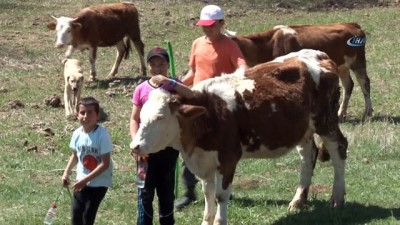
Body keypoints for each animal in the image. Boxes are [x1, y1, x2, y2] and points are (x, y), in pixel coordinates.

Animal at [130, 49, 346, 225]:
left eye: (160, 117)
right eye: (141, 116)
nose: (135, 146)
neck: (210, 114)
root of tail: (320, 55)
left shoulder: (228, 160)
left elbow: (220, 196)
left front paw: (219, 221)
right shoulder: (204, 162)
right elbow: (208, 194)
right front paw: (206, 221)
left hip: (326, 122)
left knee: (339, 149)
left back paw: (337, 198)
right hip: (303, 129)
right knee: (308, 156)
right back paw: (298, 200)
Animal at [227, 22, 374, 120]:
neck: (268, 45)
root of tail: (352, 25)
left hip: (358, 61)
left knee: (365, 83)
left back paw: (367, 113)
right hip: (342, 65)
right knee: (348, 85)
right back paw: (341, 113)